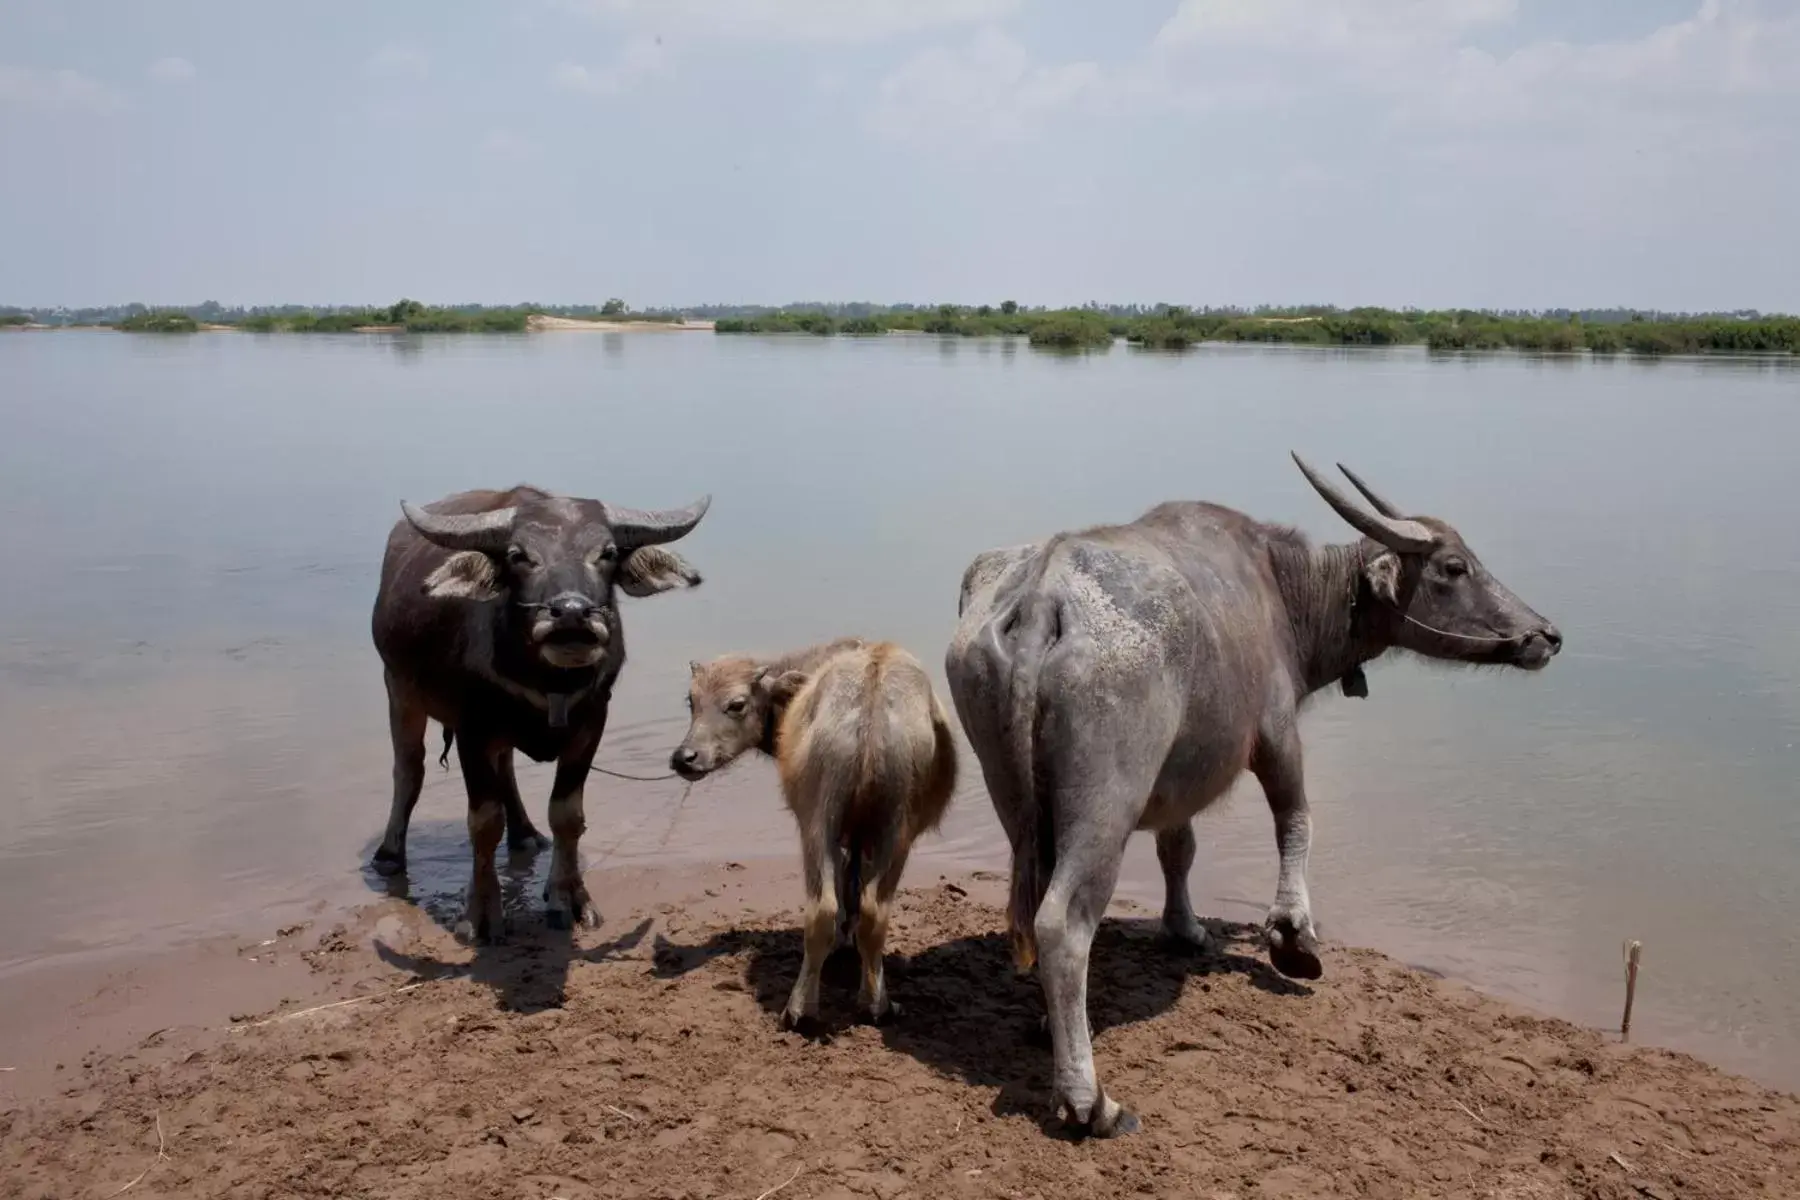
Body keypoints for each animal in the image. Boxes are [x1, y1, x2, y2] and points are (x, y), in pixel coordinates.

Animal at [369, 482, 705, 942]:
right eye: (518, 554)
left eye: (607, 552)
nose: (572, 616)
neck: (549, 680)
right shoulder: (472, 728)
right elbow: (483, 822)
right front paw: (481, 913)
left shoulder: (591, 723)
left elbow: (567, 815)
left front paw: (569, 898)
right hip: (397, 688)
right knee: (408, 769)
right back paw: (389, 854)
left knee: (507, 768)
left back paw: (526, 833)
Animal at [673, 644, 957, 1029]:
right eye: (691, 700)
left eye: (737, 704)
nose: (684, 758)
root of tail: (873, 689)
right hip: (894, 829)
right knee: (872, 912)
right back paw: (874, 1005)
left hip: (817, 822)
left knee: (824, 908)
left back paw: (802, 1010)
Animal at [943, 455, 1562, 1144]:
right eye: (1455, 567)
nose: (1545, 635)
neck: (1280, 590)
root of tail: (1041, 598)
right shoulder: (1276, 730)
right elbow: (1296, 819)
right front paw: (1294, 939)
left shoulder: (1181, 775)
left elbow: (1179, 848)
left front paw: (1185, 928)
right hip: (1106, 800)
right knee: (1063, 923)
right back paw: (1089, 1100)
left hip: (1016, 795)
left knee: (1033, 901)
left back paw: (1051, 1027)